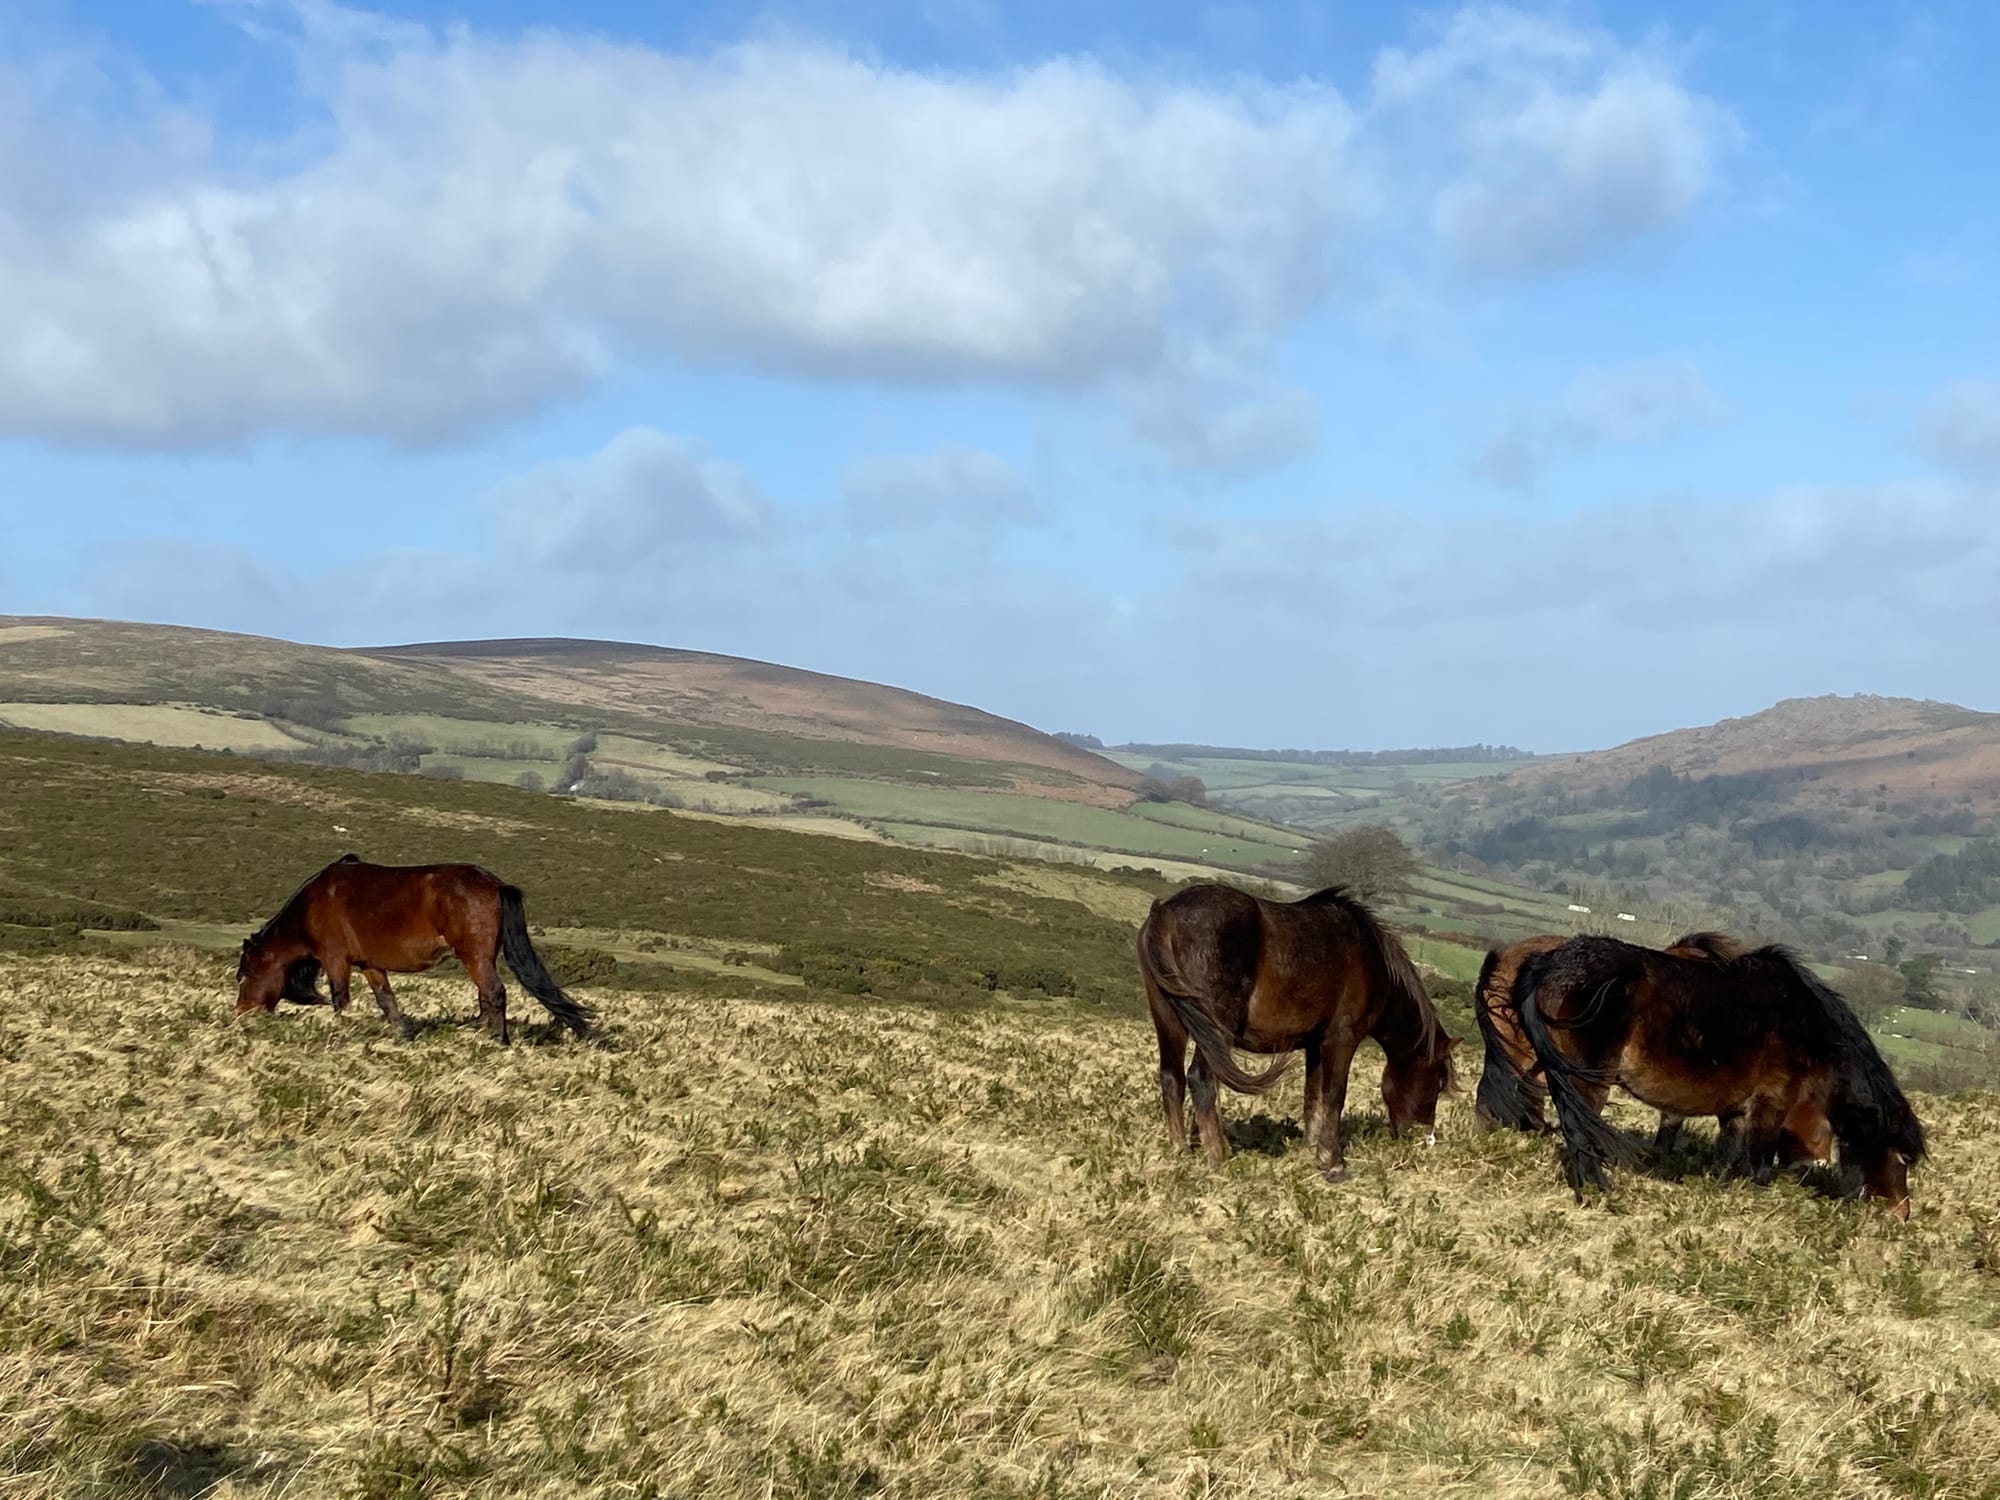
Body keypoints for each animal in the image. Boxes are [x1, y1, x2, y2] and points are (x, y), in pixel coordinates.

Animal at [236, 852, 592, 1048]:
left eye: (245, 974)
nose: (241, 1013)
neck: (315, 903)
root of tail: (496, 884)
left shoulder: (335, 959)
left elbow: (340, 1000)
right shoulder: (370, 964)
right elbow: (386, 1000)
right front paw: (403, 1034)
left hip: (473, 956)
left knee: (494, 993)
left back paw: (497, 1041)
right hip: (481, 957)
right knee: (485, 997)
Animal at [1144, 880, 1456, 1184]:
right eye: (1438, 1083)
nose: (1422, 1139)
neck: (1370, 957)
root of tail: (1167, 911)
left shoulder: (1315, 1045)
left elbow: (1313, 1097)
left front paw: (1312, 1149)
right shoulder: (1342, 1040)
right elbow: (1334, 1096)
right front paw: (1333, 1163)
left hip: (1170, 1022)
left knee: (1172, 1078)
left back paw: (1180, 1151)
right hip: (1215, 1029)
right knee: (1201, 1079)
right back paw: (1219, 1158)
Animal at [1512, 940, 1920, 1224]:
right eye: (1902, 1157)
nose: (1901, 1214)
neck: (1807, 1026)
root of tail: (1551, 962)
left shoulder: (1735, 1109)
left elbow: (1727, 1156)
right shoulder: (1773, 1100)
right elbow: (1759, 1161)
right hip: (1586, 1080)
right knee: (1580, 1131)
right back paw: (1596, 1189)